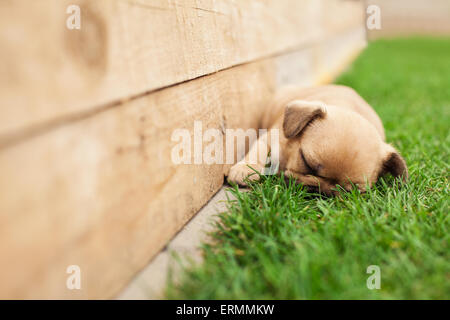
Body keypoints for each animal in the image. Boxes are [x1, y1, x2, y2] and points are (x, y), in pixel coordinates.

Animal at [229, 84, 408, 195]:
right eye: (306, 163)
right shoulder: (270, 139)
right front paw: (245, 170)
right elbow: (257, 151)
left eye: (350, 191)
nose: (323, 190)